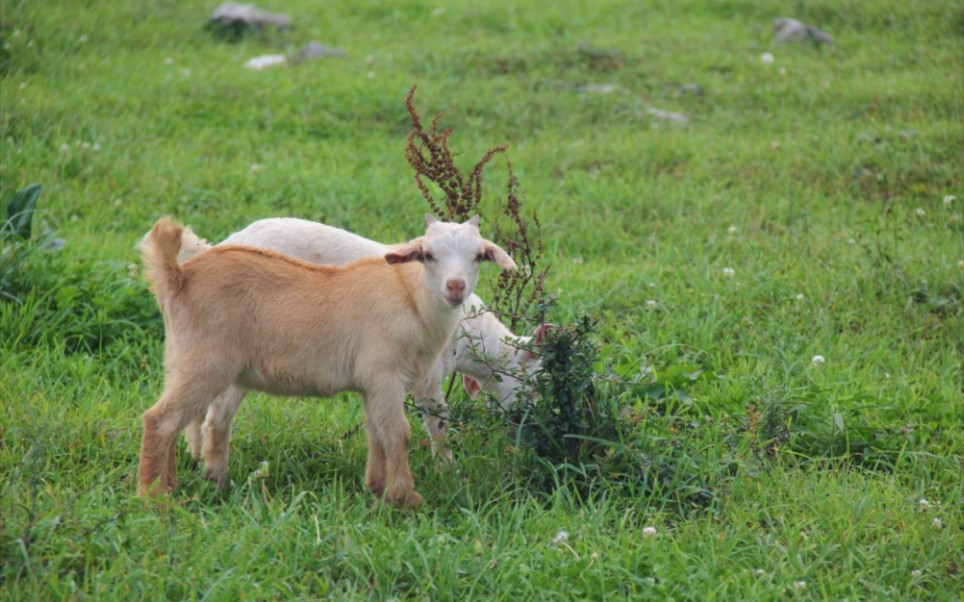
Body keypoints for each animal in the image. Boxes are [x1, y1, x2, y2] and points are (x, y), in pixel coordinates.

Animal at [139, 213, 516, 504]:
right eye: (428, 254)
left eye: (479, 255)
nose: (455, 287)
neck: (410, 298)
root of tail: (177, 275)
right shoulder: (388, 377)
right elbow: (401, 433)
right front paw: (406, 497)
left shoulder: (372, 384)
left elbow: (377, 433)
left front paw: (377, 487)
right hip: (205, 363)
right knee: (161, 420)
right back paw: (154, 495)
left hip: (191, 365)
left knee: (195, 422)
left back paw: (195, 483)